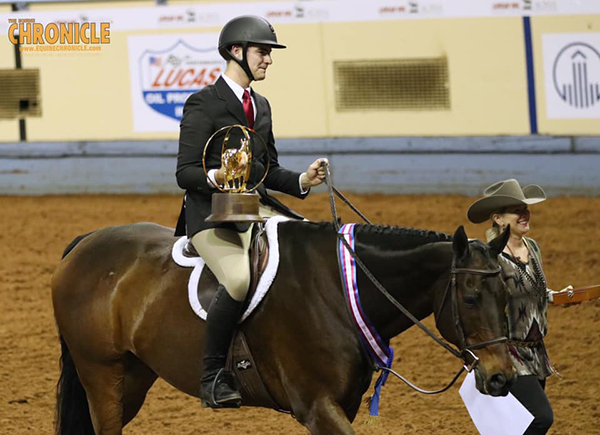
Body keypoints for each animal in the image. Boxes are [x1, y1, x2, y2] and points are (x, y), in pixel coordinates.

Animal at [50, 221, 516, 435]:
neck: (339, 288)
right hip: (101, 373)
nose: (501, 378)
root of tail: (86, 242)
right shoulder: (317, 405)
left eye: (508, 295)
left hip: (133, 376)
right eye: (471, 298)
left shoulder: (340, 405)